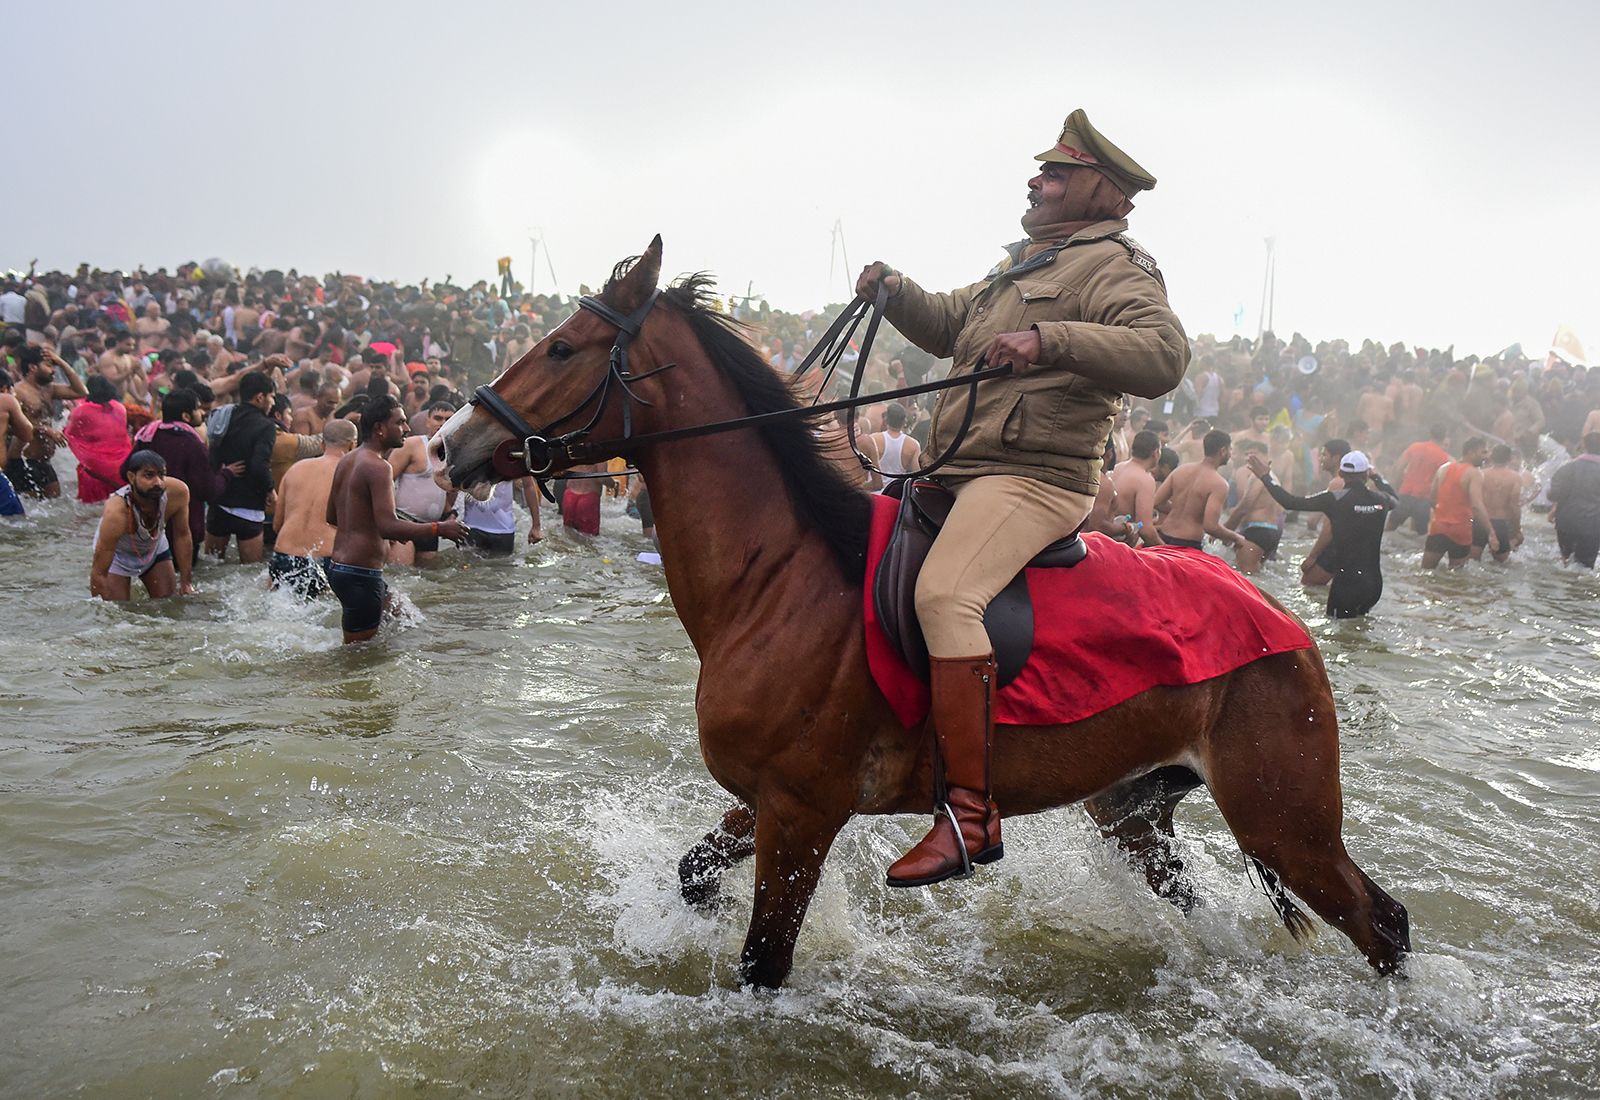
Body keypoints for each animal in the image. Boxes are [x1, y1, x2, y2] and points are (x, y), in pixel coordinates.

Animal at [435, 233, 1414, 991]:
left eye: (563, 349)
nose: (448, 443)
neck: (778, 578)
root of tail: (1285, 626)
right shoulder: (766, 803)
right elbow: (691, 875)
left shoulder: (801, 814)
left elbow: (763, 962)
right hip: (1136, 813)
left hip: (1286, 821)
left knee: (1384, 922)